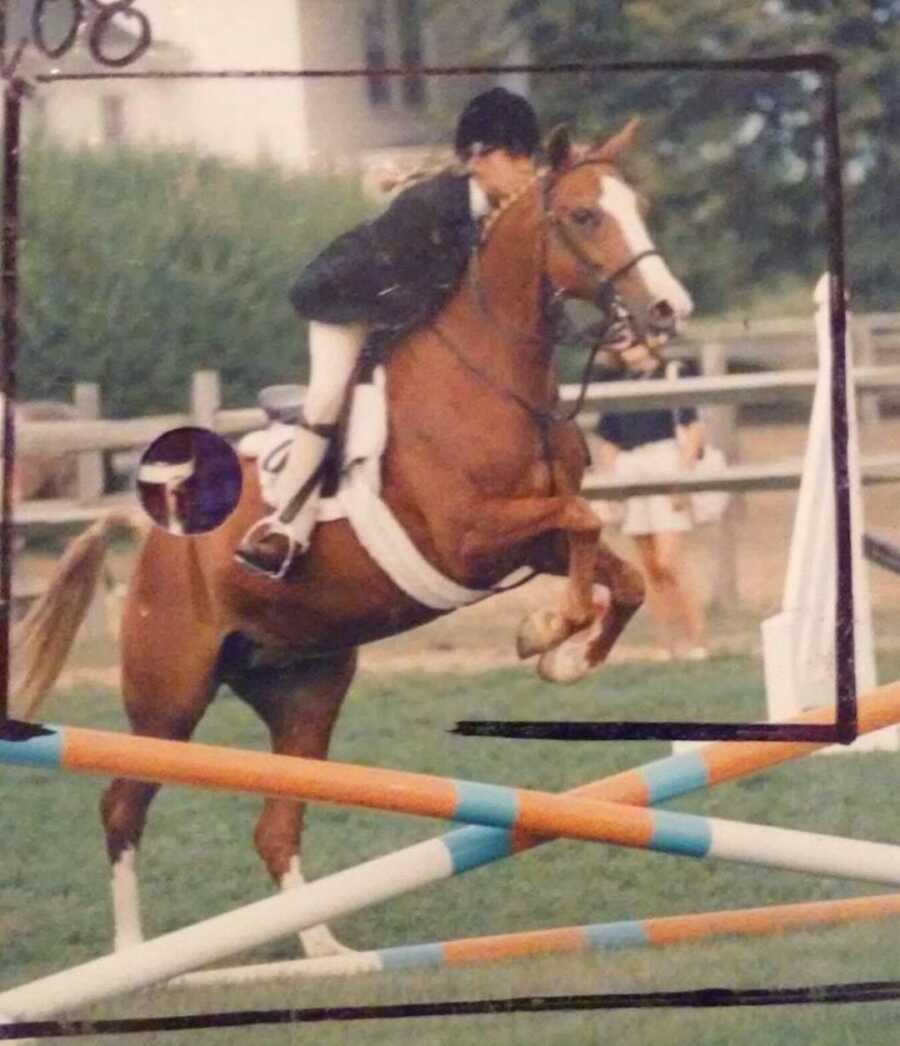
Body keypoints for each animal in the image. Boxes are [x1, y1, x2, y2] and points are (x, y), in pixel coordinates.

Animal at [10, 120, 690, 958]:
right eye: (586, 215)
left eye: (639, 206)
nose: (667, 309)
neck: (494, 375)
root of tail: (154, 528)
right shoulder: (471, 539)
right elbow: (587, 525)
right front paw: (546, 633)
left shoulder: (528, 539)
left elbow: (616, 571)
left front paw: (558, 652)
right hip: (169, 698)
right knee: (122, 806)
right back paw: (138, 954)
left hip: (307, 688)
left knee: (276, 825)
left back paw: (325, 955)